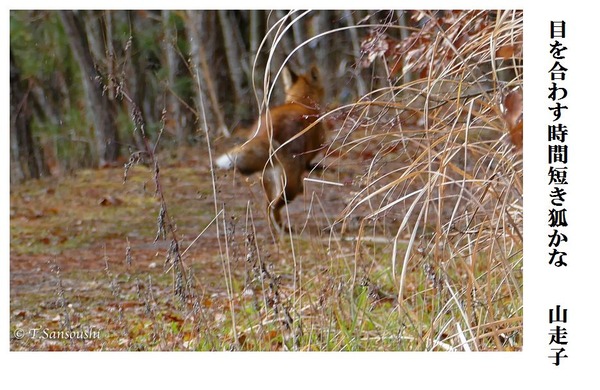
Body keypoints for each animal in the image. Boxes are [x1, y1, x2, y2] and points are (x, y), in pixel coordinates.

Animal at [216, 65, 326, 230]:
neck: (300, 102)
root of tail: (265, 131)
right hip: (288, 185)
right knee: (275, 206)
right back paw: (285, 229)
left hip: (267, 179)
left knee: (268, 208)